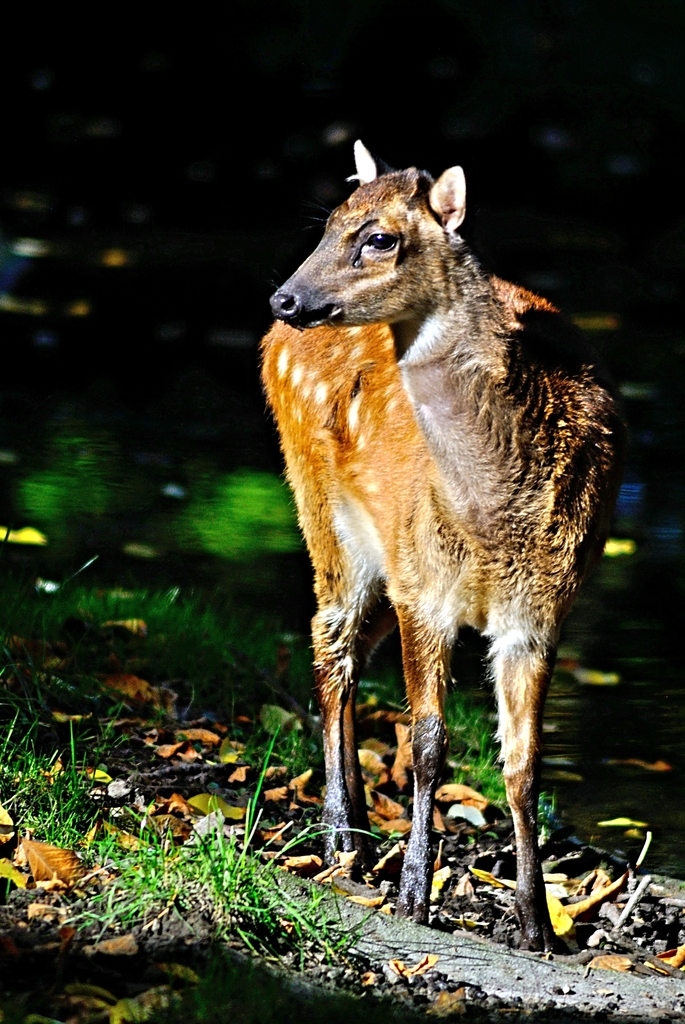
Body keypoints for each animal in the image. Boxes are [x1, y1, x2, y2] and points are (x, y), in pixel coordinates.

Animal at [260, 141, 626, 951]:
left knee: (348, 652)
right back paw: (339, 838)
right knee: (328, 642)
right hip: (322, 509)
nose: (285, 299)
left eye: (378, 238)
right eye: (327, 222)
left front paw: (537, 926)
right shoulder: (423, 588)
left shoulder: (539, 611)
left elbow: (524, 765)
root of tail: (272, 347)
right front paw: (412, 896)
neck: (493, 516)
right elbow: (427, 741)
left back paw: (357, 831)